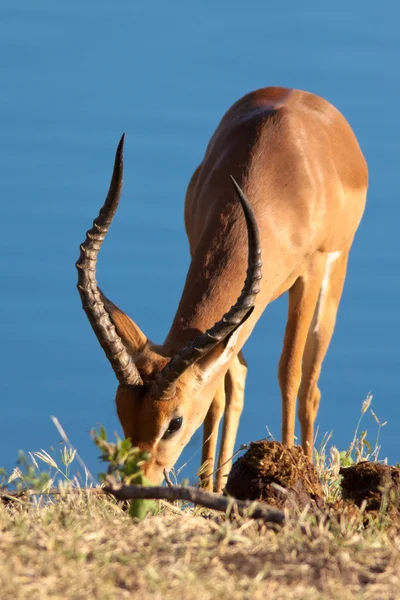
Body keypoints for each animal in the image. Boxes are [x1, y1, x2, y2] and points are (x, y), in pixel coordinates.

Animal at [76, 85, 368, 492]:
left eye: (174, 422)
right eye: (121, 412)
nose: (136, 487)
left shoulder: (309, 273)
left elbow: (289, 373)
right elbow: (217, 391)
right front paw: (205, 491)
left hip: (335, 270)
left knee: (310, 381)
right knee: (238, 374)